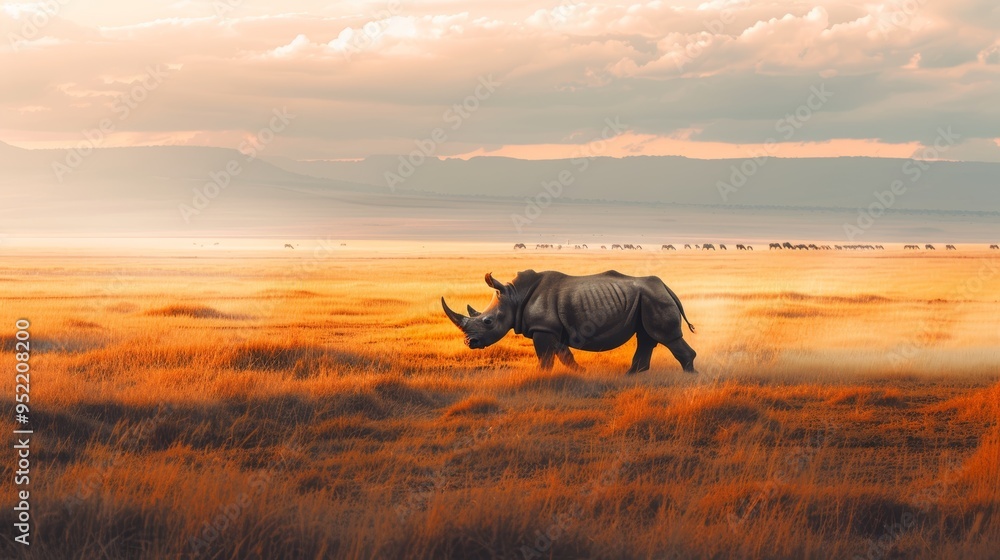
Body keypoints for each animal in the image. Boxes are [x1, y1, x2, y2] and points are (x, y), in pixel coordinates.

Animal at [441, 270, 697, 374]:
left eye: (488, 322)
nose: (469, 343)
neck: (515, 296)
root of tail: (666, 286)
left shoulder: (543, 328)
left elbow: (546, 357)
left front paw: (541, 377)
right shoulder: (553, 329)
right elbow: (564, 355)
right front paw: (582, 371)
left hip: (655, 298)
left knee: (667, 338)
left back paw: (690, 376)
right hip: (647, 299)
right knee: (646, 337)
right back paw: (631, 375)